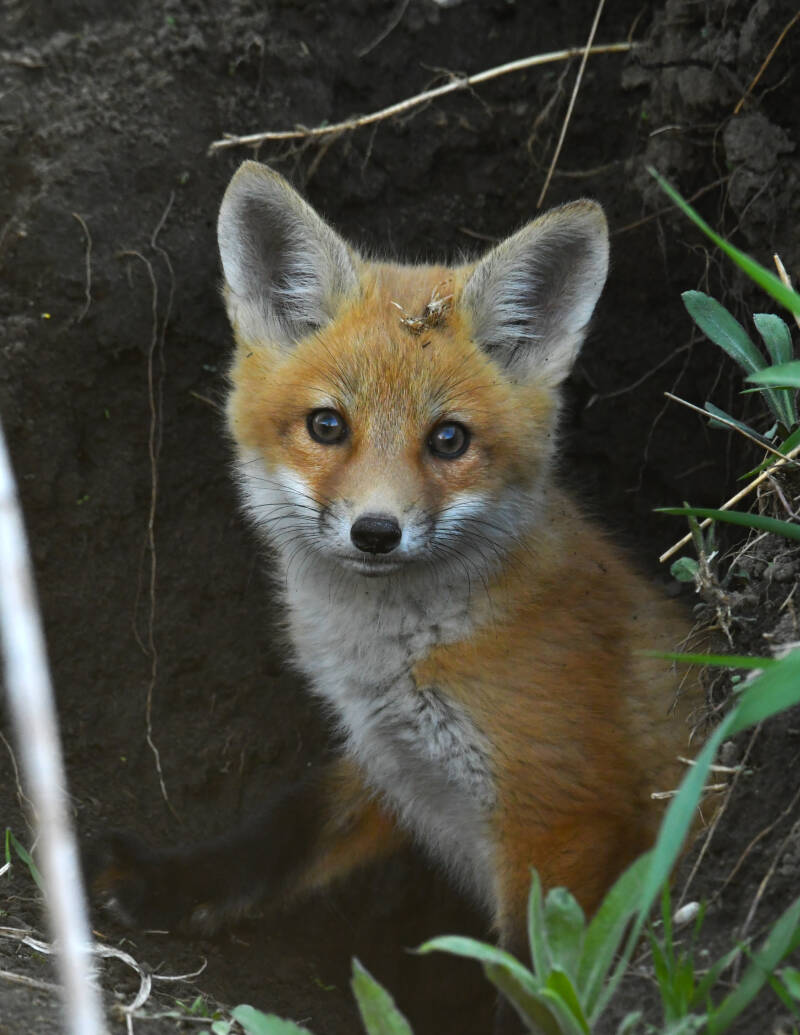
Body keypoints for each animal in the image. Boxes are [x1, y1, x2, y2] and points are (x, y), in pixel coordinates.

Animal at [96, 161, 700, 985]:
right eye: (327, 425)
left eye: (448, 439)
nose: (376, 532)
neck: (398, 662)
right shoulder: (390, 761)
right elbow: (283, 832)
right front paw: (169, 883)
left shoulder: (564, 819)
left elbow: (542, 977)